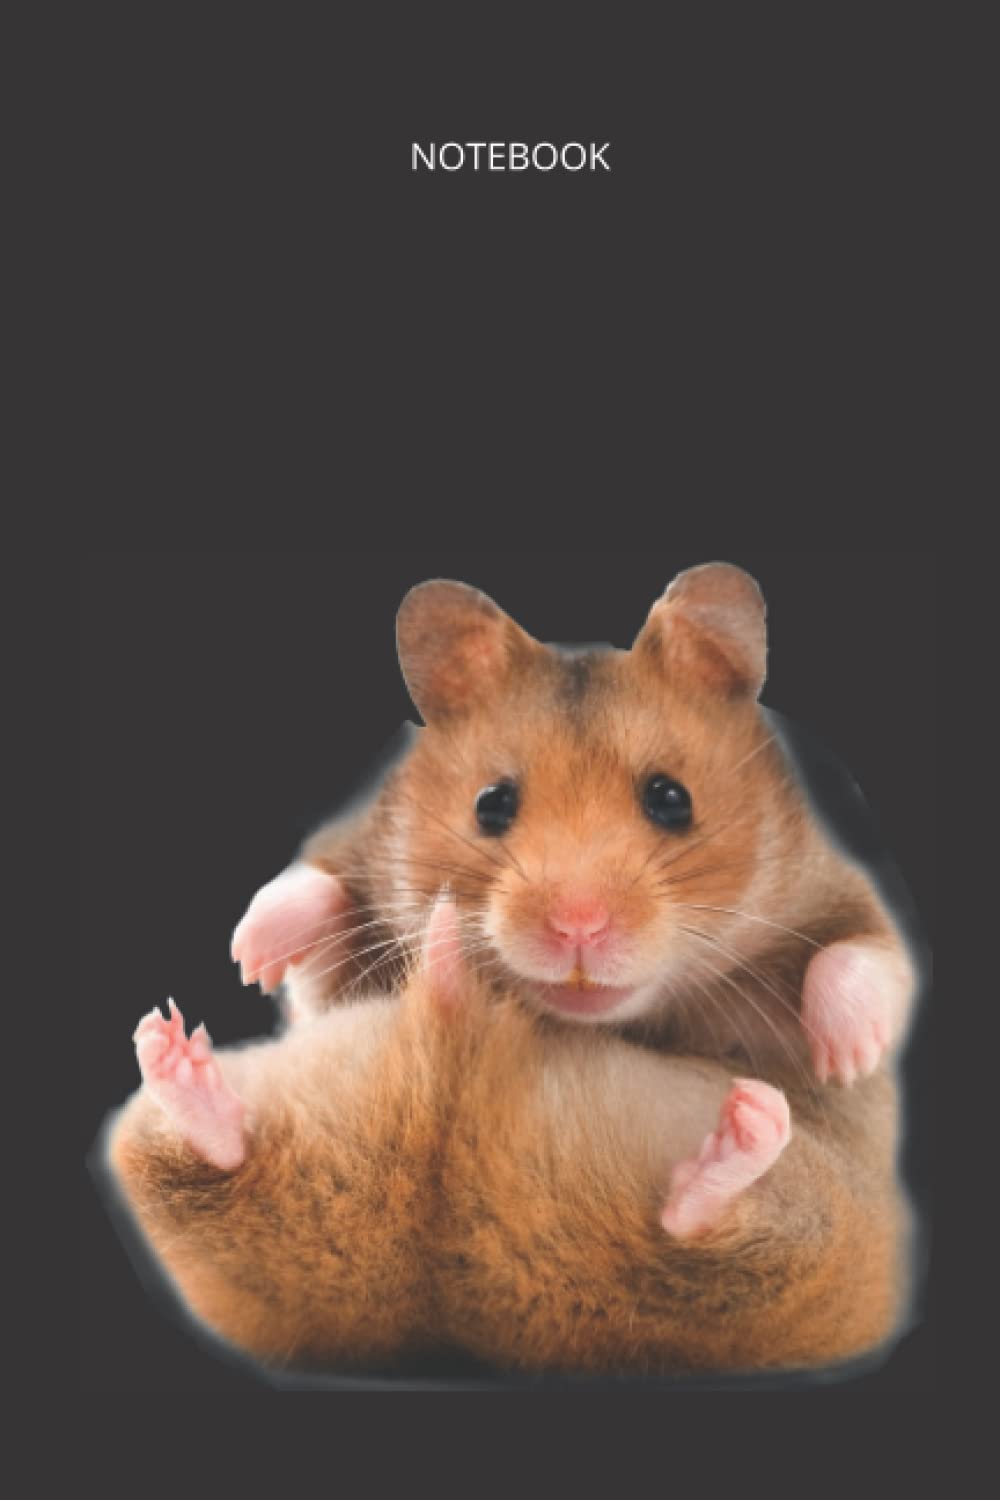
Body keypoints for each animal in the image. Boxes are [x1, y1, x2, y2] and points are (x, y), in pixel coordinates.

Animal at [231, 563, 915, 1091]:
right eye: (491, 804)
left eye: (672, 799)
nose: (578, 928)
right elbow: (312, 896)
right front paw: (249, 959)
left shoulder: (834, 887)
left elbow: (865, 955)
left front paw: (846, 1061)